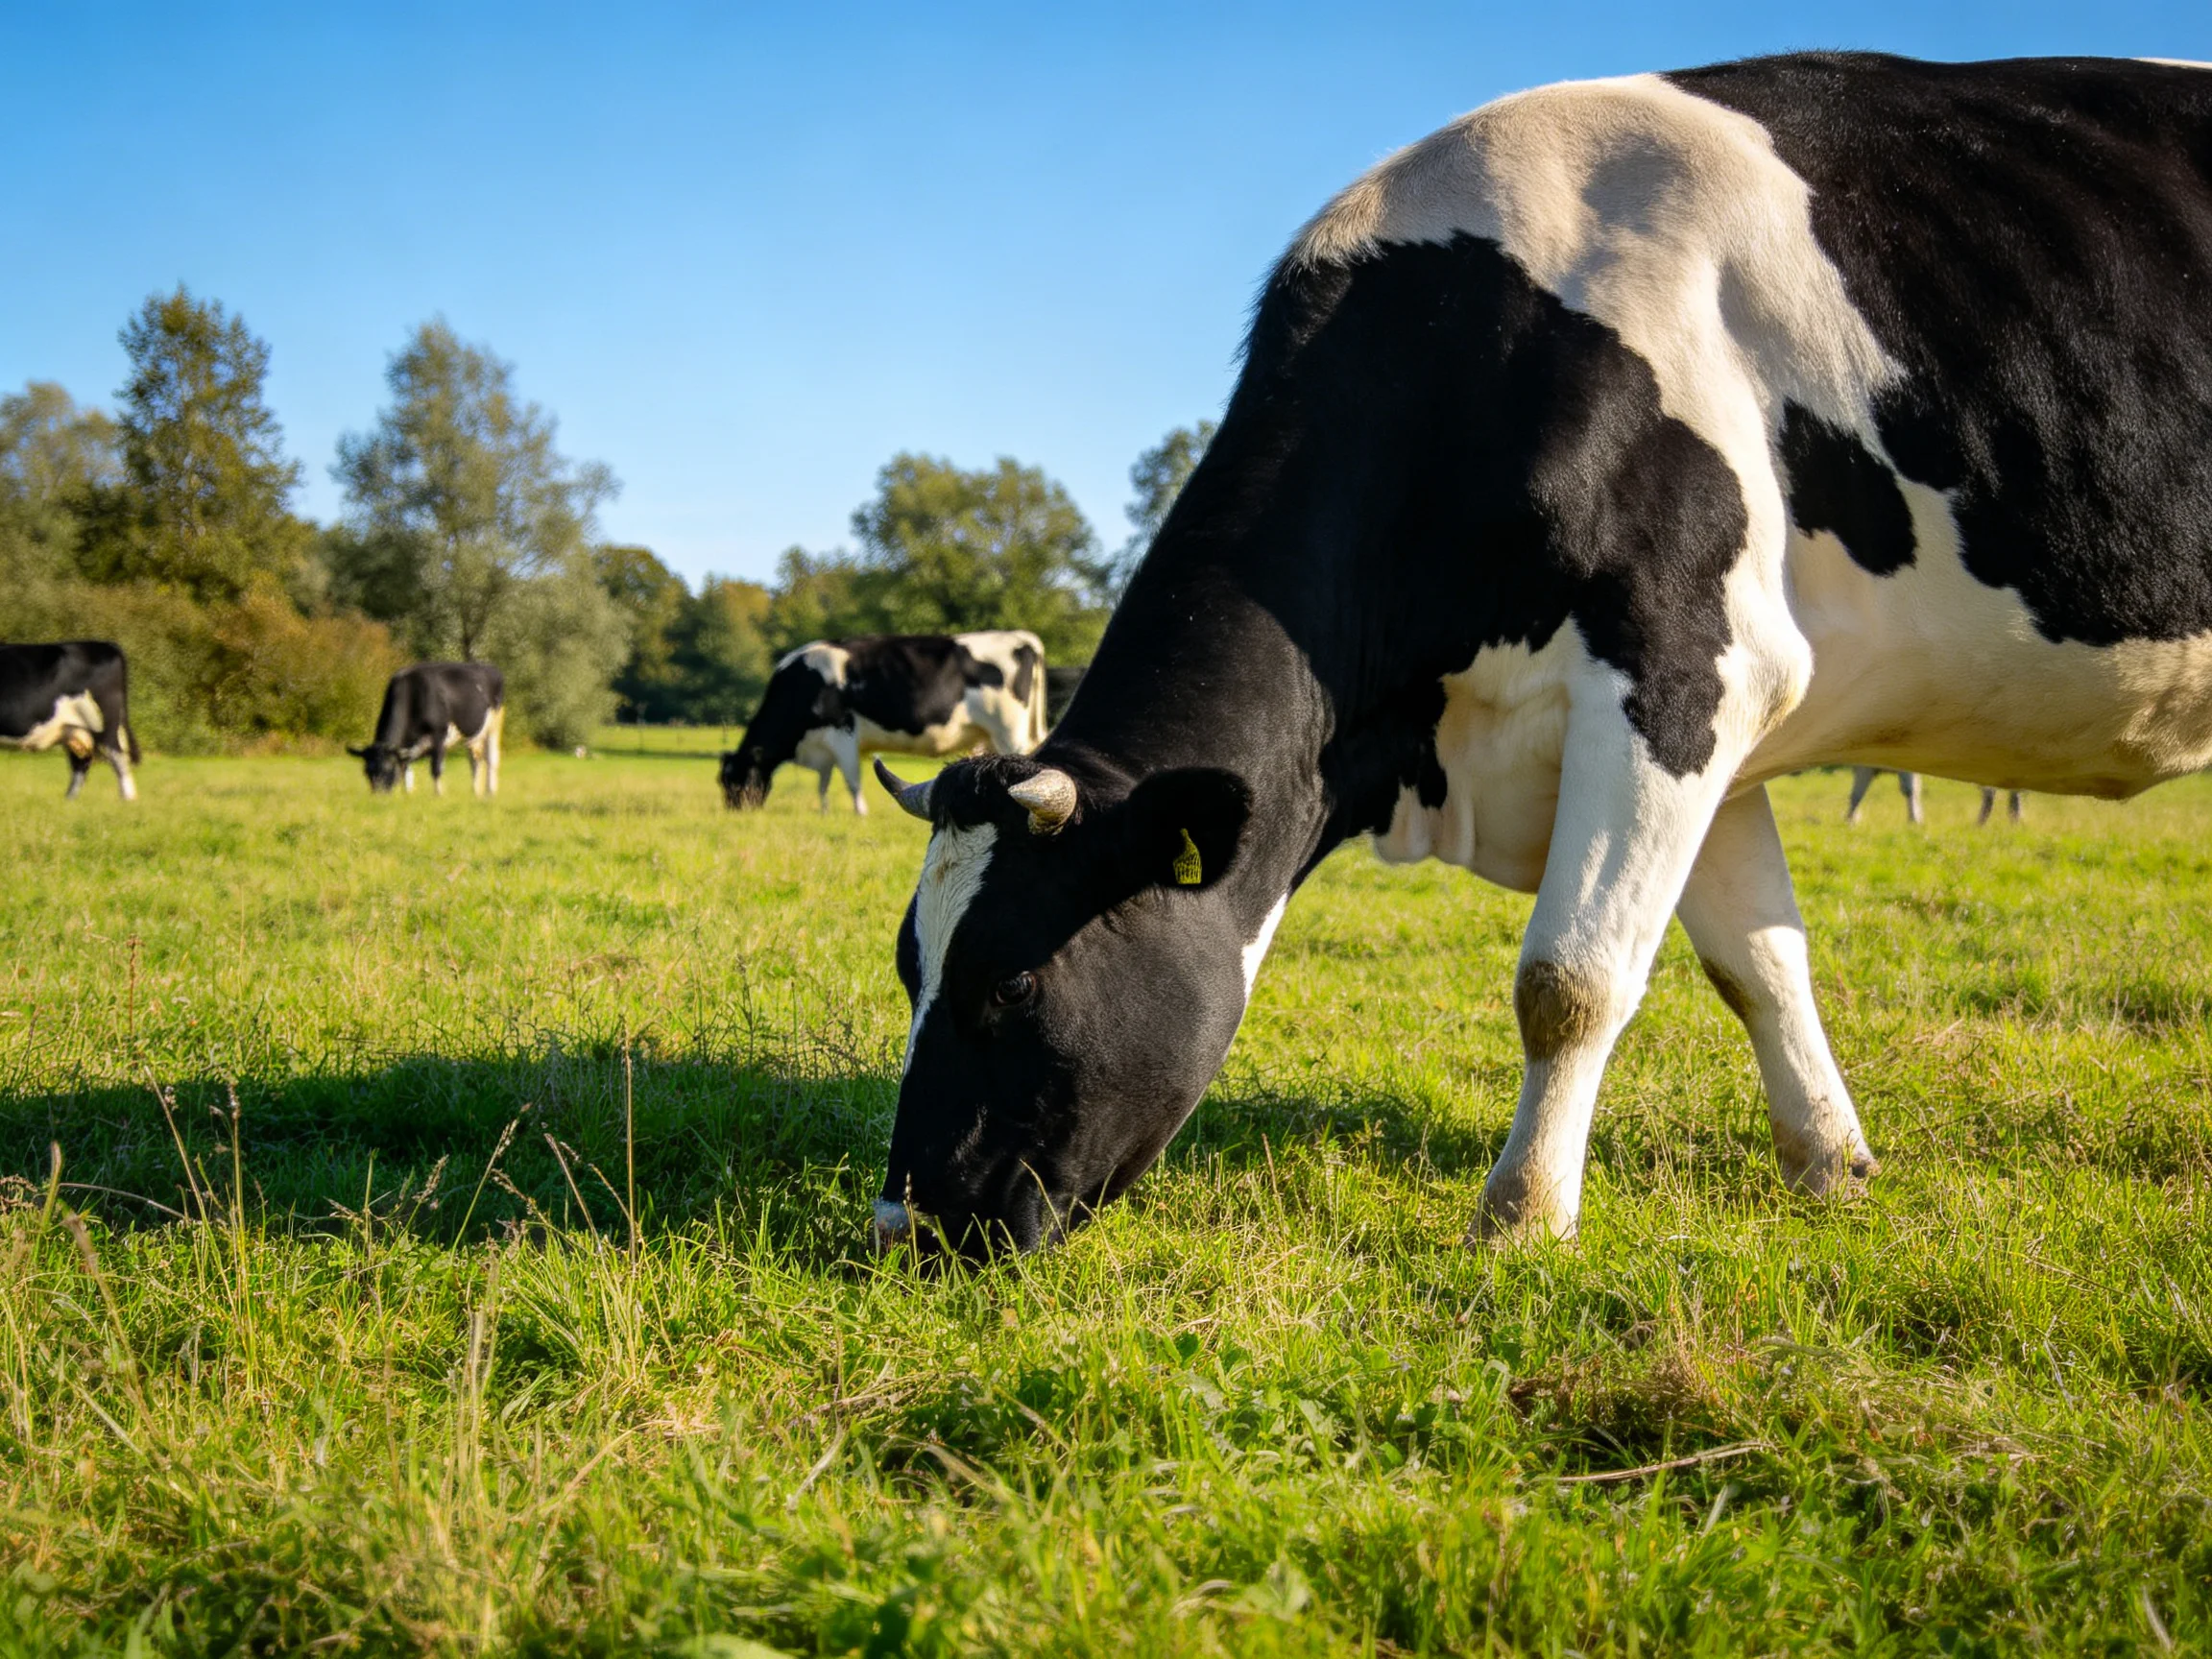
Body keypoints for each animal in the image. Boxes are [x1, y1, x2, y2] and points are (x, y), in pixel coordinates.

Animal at [0, 641, 140, 801]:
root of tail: (108, 645)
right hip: (74, 730)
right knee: (81, 764)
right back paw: (69, 801)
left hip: (103, 725)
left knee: (119, 759)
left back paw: (127, 800)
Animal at [349, 663, 505, 797]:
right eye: (366, 771)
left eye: (388, 768)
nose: (379, 796)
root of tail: (489, 667)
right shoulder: (406, 746)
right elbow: (406, 768)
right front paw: (407, 794)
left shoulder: (439, 733)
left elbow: (435, 768)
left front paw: (438, 795)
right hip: (472, 733)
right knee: (475, 759)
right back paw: (476, 792)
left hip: (495, 722)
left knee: (491, 758)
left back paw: (490, 791)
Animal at [719, 631, 1047, 812]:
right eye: (722, 781)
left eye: (738, 780)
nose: (736, 811)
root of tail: (1023, 637)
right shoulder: (824, 745)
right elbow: (823, 784)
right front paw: (824, 812)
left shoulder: (843, 732)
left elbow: (852, 781)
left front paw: (860, 813)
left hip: (1008, 730)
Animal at [868, 54, 2212, 1257]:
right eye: (906, 968)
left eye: (1010, 985)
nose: (904, 1227)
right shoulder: (1719, 728)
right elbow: (1761, 964)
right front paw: (1831, 1164)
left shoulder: (1679, 667)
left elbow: (1569, 980)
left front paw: (1519, 1220)